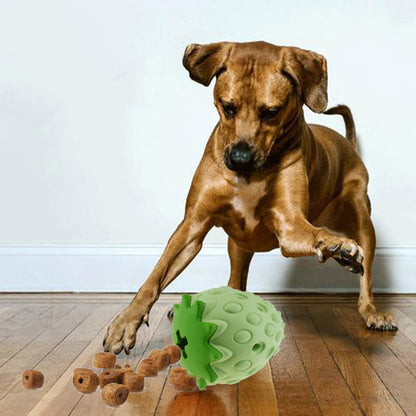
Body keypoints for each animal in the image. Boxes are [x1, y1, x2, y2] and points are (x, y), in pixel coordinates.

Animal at [103, 41, 396, 354]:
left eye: (271, 112)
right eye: (227, 107)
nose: (239, 159)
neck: (251, 176)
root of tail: (348, 144)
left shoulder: (290, 228)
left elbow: (314, 234)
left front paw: (338, 246)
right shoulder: (193, 225)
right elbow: (156, 275)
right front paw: (126, 321)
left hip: (362, 217)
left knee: (365, 275)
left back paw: (371, 310)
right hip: (238, 246)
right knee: (235, 284)